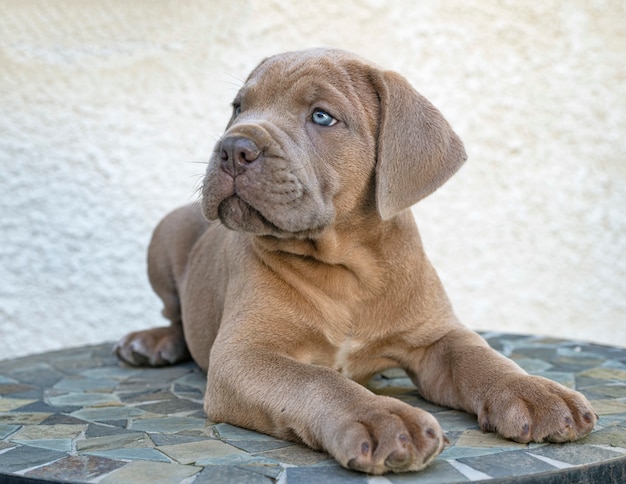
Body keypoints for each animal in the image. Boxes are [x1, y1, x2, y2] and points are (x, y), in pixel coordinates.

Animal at [113, 50, 596, 476]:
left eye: (322, 117)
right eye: (238, 107)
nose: (233, 147)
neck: (346, 268)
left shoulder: (436, 336)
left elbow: (482, 358)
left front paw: (536, 392)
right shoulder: (244, 355)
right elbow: (317, 380)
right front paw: (382, 417)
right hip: (165, 235)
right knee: (174, 313)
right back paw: (152, 342)